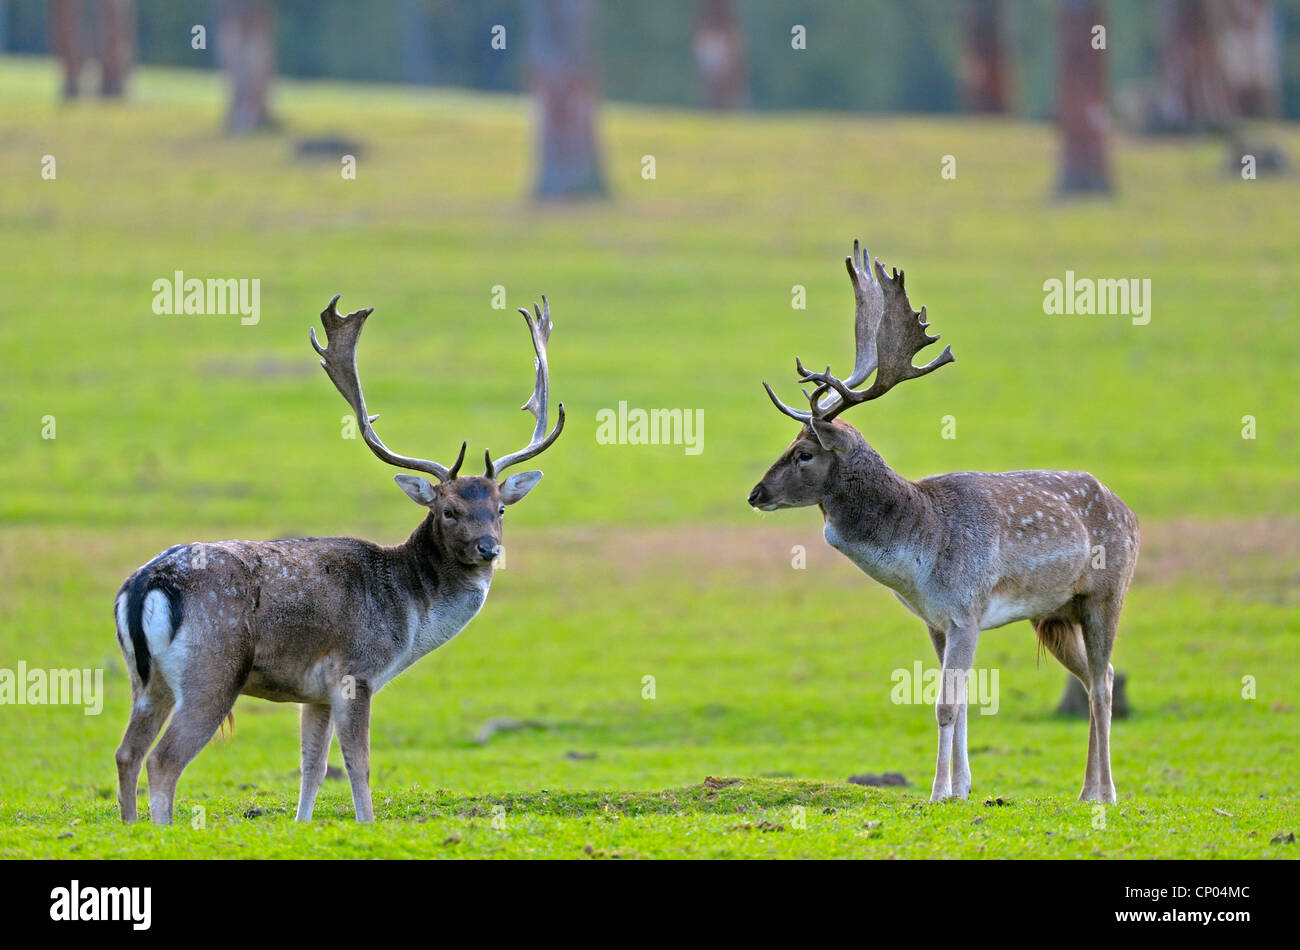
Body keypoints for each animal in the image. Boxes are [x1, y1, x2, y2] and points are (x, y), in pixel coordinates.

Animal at [119, 293, 566, 821]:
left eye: (500, 508)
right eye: (448, 510)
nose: (489, 548)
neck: (410, 614)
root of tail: (148, 583)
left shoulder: (313, 692)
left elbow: (312, 766)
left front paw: (302, 824)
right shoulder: (356, 672)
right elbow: (359, 762)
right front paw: (367, 822)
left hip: (146, 680)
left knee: (127, 752)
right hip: (212, 671)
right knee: (162, 761)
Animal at [754, 243, 1138, 800]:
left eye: (804, 453)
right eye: (788, 444)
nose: (755, 493)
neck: (922, 551)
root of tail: (1131, 514)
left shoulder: (965, 609)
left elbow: (945, 704)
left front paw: (938, 791)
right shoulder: (936, 621)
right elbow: (960, 704)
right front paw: (960, 788)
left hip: (1106, 594)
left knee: (1105, 682)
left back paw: (1102, 792)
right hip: (1053, 615)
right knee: (1095, 679)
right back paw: (1088, 787)